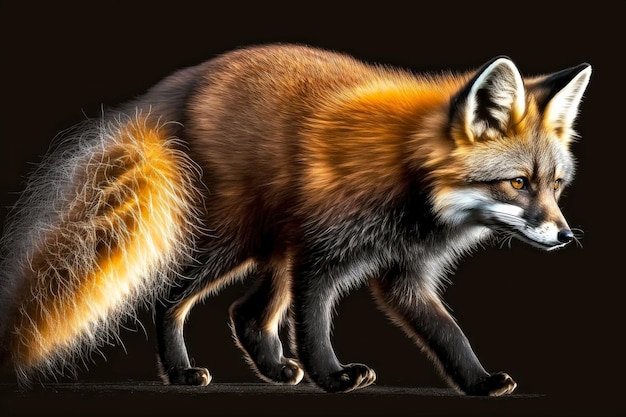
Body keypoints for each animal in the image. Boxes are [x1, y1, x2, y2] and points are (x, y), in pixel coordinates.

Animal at [0, 44, 588, 394]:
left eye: (556, 185)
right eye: (518, 183)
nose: (565, 236)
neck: (409, 183)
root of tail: (176, 86)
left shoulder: (404, 272)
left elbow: (448, 332)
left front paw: (476, 381)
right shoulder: (320, 256)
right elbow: (312, 324)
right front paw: (331, 377)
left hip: (271, 250)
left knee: (244, 313)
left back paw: (272, 369)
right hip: (229, 243)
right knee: (168, 298)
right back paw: (180, 372)